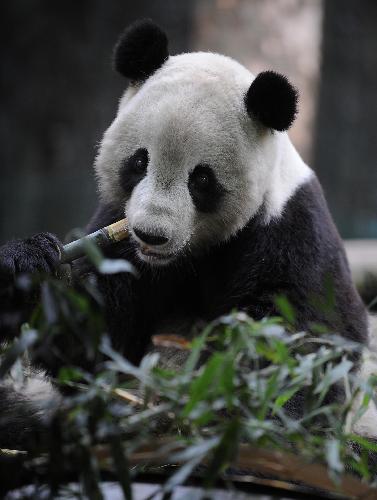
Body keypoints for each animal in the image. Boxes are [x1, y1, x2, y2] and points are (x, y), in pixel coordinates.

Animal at [0, 18, 374, 450]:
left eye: (202, 179)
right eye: (139, 161)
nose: (151, 234)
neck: (194, 253)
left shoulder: (292, 231)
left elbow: (309, 337)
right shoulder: (119, 236)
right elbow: (96, 336)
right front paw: (25, 268)